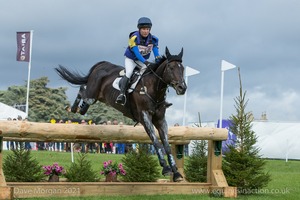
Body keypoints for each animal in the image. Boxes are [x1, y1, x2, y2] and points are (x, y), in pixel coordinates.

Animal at [55, 46, 186, 181]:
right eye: (171, 68)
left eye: (182, 68)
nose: (182, 88)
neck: (153, 89)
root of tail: (101, 65)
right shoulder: (145, 117)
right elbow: (156, 142)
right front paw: (165, 168)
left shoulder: (160, 120)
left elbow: (167, 146)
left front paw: (176, 173)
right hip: (92, 95)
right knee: (82, 89)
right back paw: (72, 108)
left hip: (99, 97)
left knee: (84, 96)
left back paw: (80, 108)